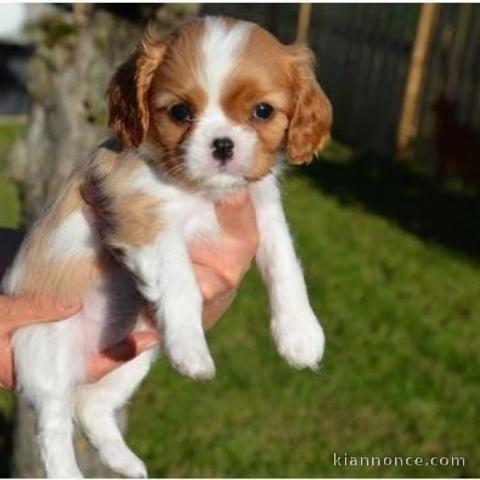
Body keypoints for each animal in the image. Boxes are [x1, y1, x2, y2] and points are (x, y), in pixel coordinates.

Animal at [1, 16, 332, 478]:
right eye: (180, 112)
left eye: (263, 111)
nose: (222, 144)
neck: (204, 194)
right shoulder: (142, 216)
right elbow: (180, 281)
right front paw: (193, 348)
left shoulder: (263, 208)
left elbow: (284, 263)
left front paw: (300, 334)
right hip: (48, 353)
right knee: (53, 425)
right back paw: (69, 470)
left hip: (135, 353)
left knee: (92, 407)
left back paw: (125, 461)